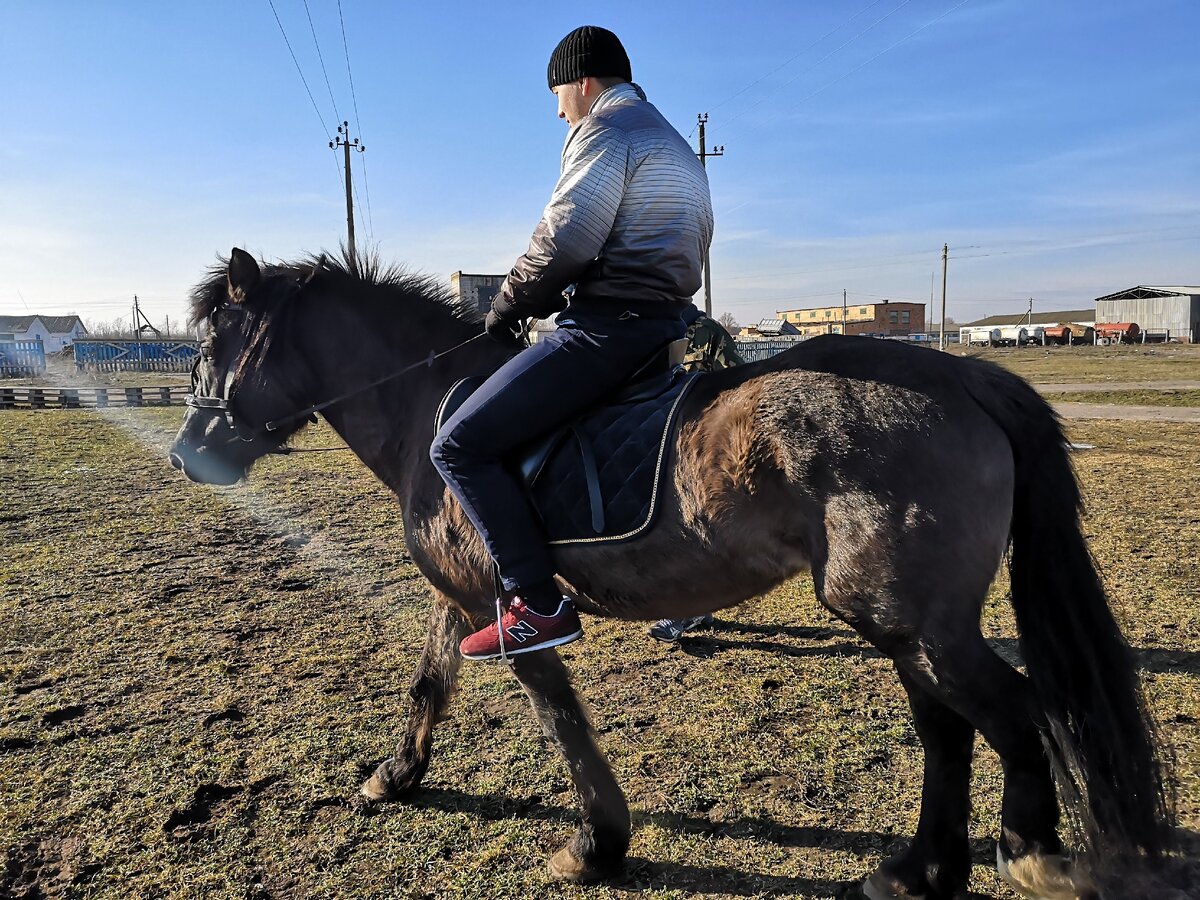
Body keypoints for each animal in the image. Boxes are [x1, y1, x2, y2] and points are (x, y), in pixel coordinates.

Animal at [171, 250, 1171, 900]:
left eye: (214, 344)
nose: (187, 455)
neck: (431, 411)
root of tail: (965, 376)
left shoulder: (519, 607)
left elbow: (559, 718)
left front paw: (596, 844)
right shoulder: (463, 595)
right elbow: (430, 680)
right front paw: (397, 774)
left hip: (909, 618)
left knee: (1010, 712)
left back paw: (1026, 848)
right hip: (911, 624)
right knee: (948, 728)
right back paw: (921, 869)